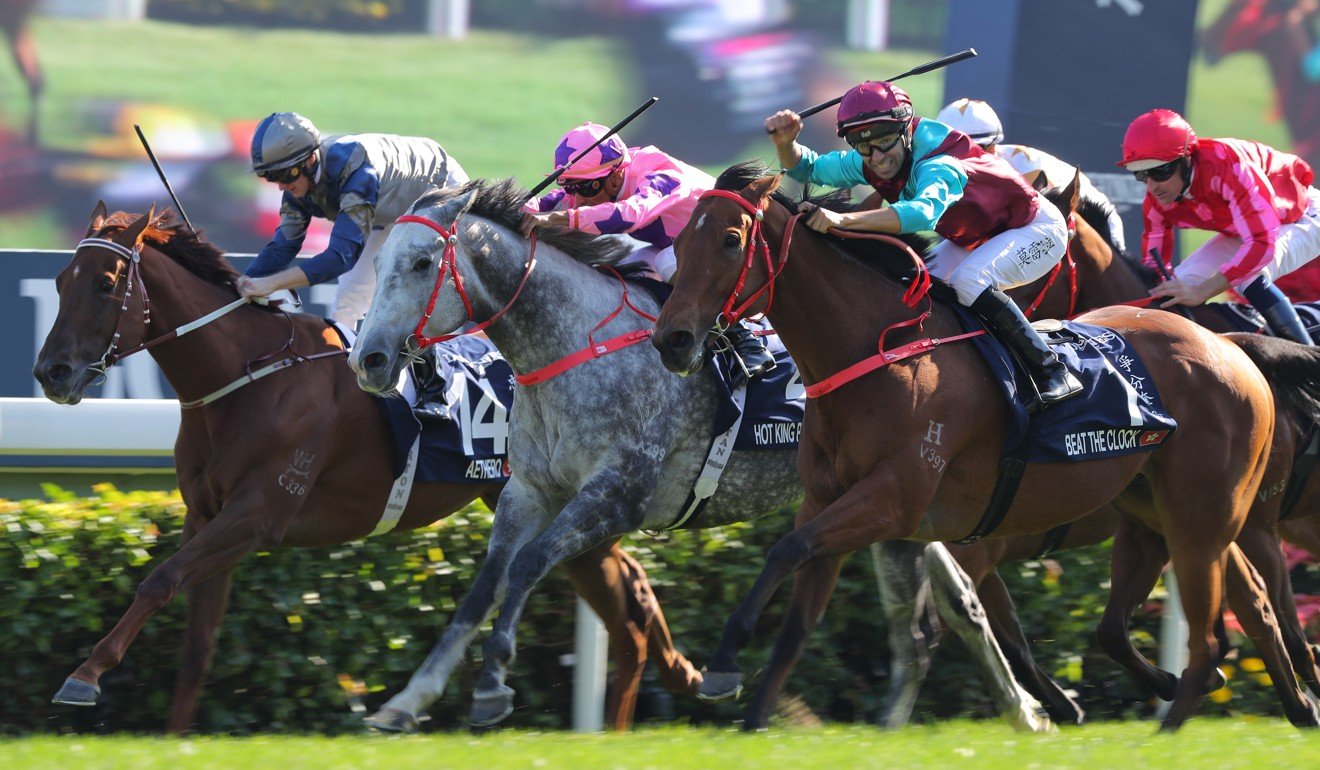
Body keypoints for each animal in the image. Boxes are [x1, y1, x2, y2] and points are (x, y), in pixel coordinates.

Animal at [31, 202, 702, 734]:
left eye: (107, 282)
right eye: (62, 280)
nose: (51, 373)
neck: (247, 377)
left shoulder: (257, 514)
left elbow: (159, 580)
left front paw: (84, 676)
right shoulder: (207, 516)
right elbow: (196, 639)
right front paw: (175, 736)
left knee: (627, 602)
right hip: (544, 496)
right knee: (626, 597)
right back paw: (657, 694)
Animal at [348, 178, 1050, 734]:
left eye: (420, 263)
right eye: (378, 264)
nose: (369, 360)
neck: (571, 348)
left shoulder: (617, 496)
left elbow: (527, 567)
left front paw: (493, 685)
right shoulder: (529, 491)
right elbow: (483, 587)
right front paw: (408, 700)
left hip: (892, 493)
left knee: (952, 608)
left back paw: (1023, 708)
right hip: (896, 505)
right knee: (938, 615)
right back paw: (1019, 709)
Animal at [652, 161, 1320, 729]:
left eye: (731, 240)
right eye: (679, 244)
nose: (672, 341)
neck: (876, 351)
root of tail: (1229, 347)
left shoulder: (895, 502)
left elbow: (791, 553)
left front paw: (724, 665)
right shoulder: (829, 503)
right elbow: (798, 612)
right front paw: (750, 711)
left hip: (1211, 513)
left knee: (1237, 616)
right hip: (1158, 508)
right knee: (1230, 607)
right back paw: (1266, 702)